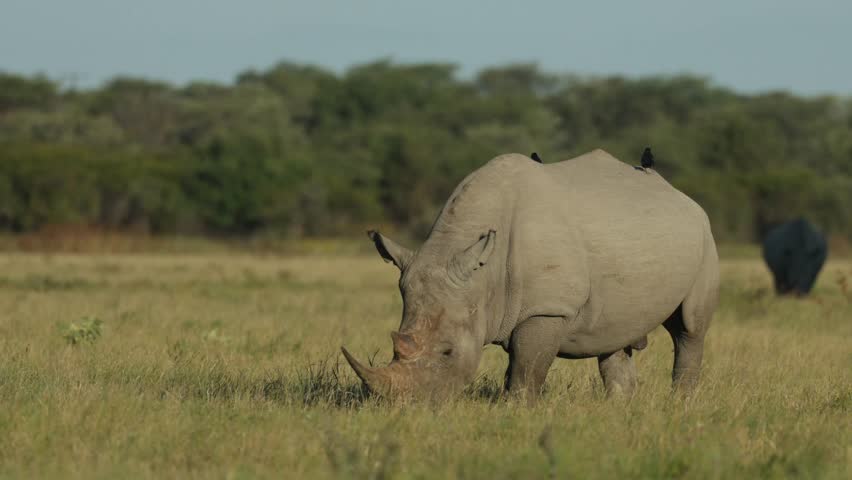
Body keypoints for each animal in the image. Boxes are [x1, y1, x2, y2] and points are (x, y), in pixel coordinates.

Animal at [342, 149, 719, 401]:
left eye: (448, 352)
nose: (409, 406)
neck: (483, 276)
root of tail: (681, 195)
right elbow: (518, 365)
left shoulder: (547, 308)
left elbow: (527, 367)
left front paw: (517, 410)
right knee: (617, 336)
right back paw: (619, 407)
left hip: (704, 234)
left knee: (689, 328)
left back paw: (681, 403)